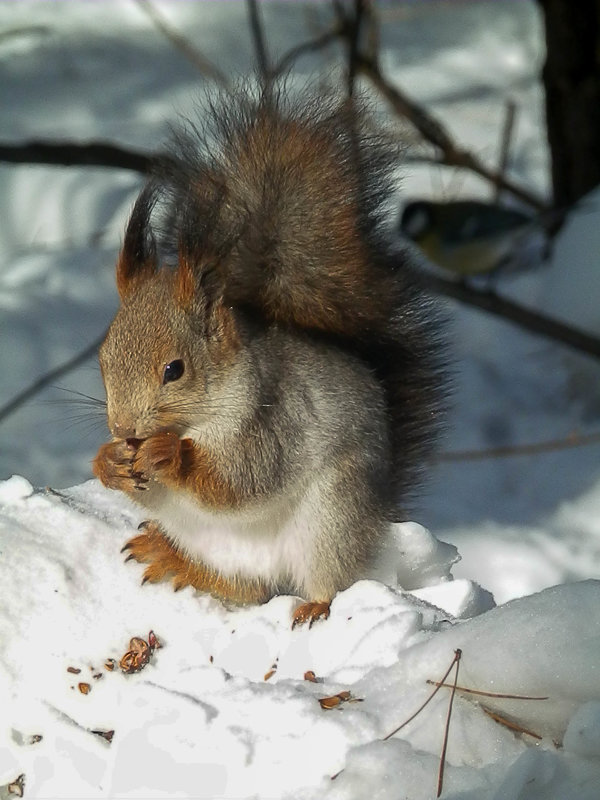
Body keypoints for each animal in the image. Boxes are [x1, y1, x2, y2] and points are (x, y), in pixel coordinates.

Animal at [91, 84, 442, 628]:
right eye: (103, 360)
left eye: (175, 369)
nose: (125, 429)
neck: (198, 419)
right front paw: (109, 462)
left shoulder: (273, 421)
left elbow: (241, 481)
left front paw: (167, 453)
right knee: (243, 587)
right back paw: (173, 557)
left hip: (330, 518)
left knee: (315, 579)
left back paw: (315, 605)